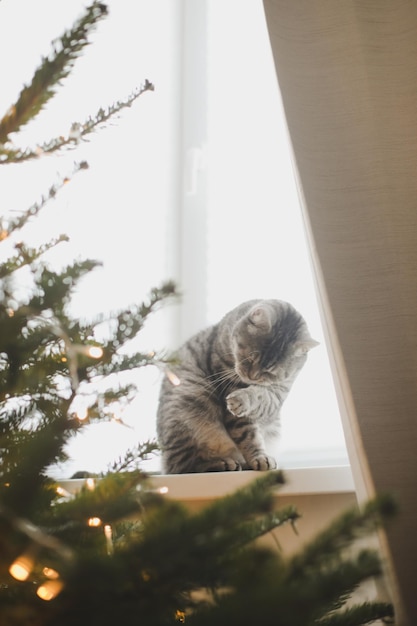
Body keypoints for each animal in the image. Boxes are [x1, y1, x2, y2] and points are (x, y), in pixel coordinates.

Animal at [155, 300, 316, 470]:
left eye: (270, 371)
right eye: (250, 358)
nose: (252, 376)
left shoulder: (277, 393)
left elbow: (260, 396)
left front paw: (242, 399)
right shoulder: (229, 385)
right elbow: (248, 434)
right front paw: (259, 457)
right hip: (187, 402)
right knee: (184, 465)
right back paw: (223, 463)